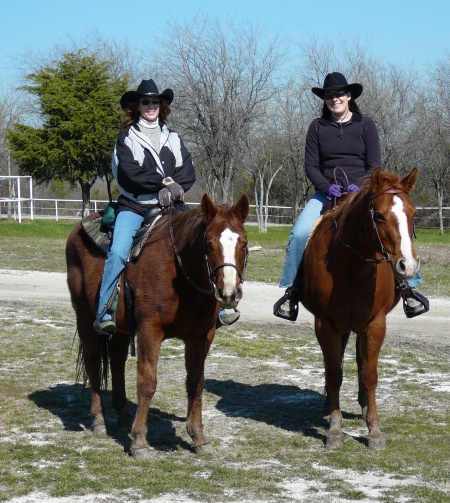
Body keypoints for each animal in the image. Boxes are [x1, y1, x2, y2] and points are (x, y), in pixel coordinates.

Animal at [65, 194, 250, 460]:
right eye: (208, 244)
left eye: (243, 244)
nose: (229, 293)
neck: (181, 275)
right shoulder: (149, 331)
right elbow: (147, 383)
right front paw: (139, 441)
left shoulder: (201, 336)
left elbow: (196, 383)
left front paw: (198, 437)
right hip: (84, 317)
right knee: (93, 363)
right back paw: (99, 420)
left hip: (121, 328)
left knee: (116, 359)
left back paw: (122, 413)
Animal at [300, 167, 420, 450]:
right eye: (379, 215)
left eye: (413, 214)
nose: (408, 266)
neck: (352, 267)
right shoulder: (325, 324)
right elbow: (334, 373)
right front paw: (334, 430)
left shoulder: (375, 324)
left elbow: (369, 373)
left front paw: (374, 430)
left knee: (358, 360)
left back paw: (364, 404)